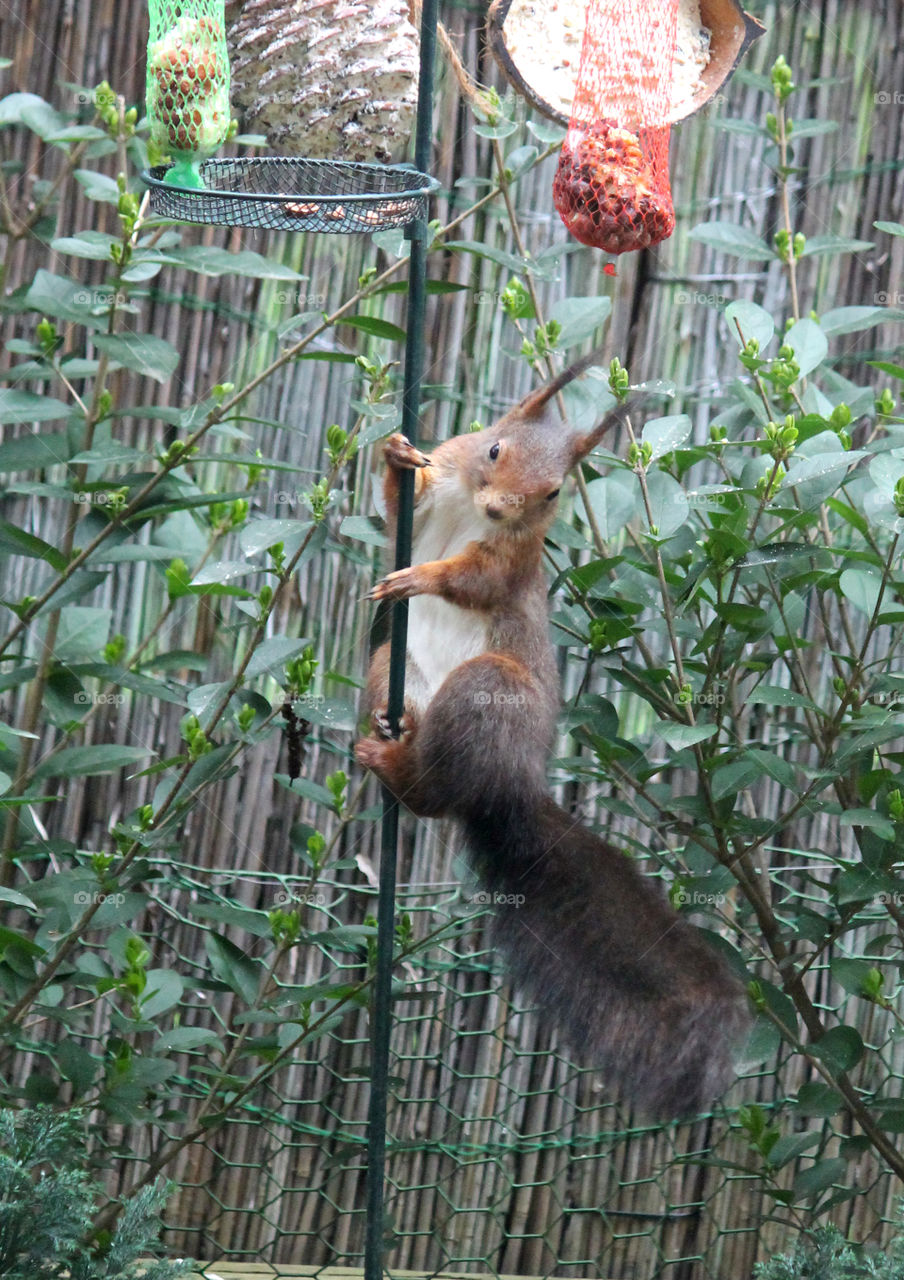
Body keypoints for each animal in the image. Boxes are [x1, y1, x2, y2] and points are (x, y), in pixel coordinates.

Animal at [355, 353, 749, 1119]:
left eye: (554, 491)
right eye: (493, 450)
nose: (501, 508)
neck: (469, 505)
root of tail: (509, 785)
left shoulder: (514, 559)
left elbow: (475, 579)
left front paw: (426, 576)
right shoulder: (439, 490)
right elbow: (397, 514)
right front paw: (395, 455)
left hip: (487, 690)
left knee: (432, 795)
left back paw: (395, 763)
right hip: (396, 663)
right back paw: (395, 726)